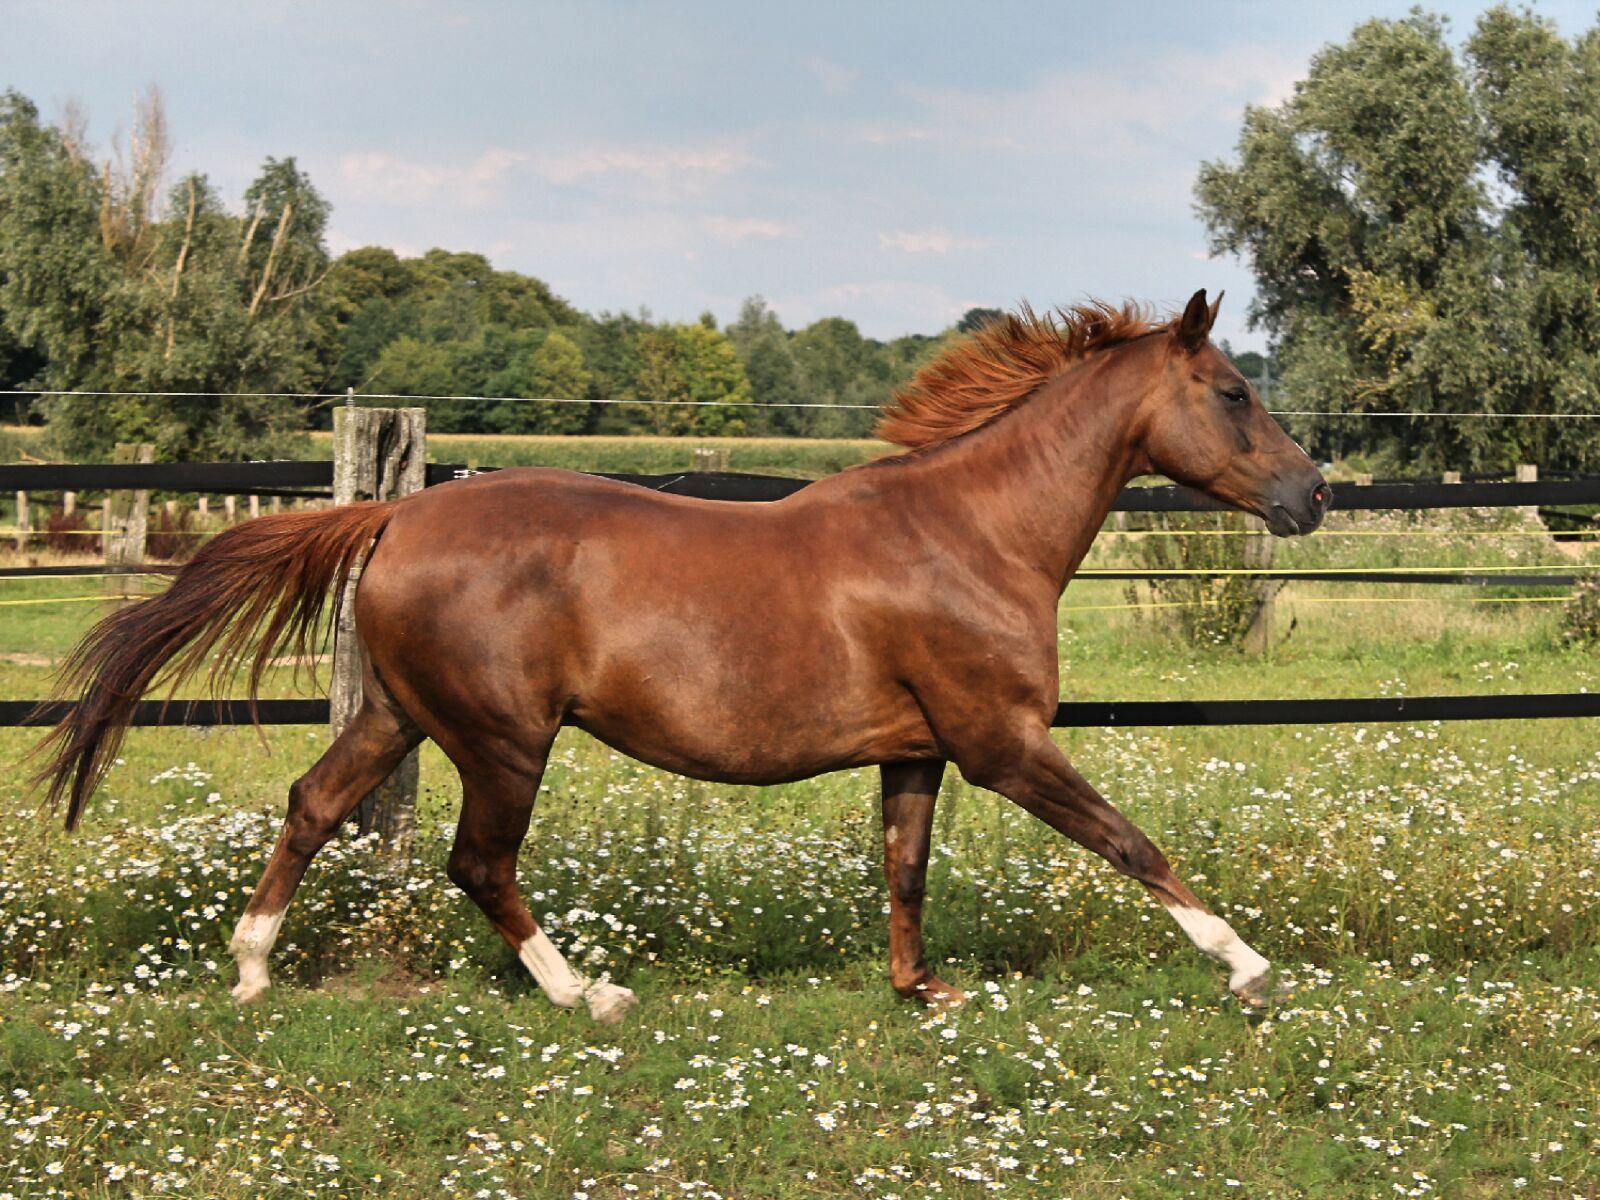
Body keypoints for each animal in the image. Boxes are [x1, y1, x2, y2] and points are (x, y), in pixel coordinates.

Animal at [33, 289, 1328, 1024]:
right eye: (1231, 390)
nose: (1311, 495)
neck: (969, 534)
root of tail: (397, 515)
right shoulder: (1001, 745)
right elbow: (1130, 841)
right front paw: (1249, 970)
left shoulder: (917, 751)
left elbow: (906, 869)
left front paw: (921, 992)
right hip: (503, 740)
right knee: (478, 863)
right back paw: (589, 994)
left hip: (400, 712)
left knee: (311, 804)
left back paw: (251, 973)